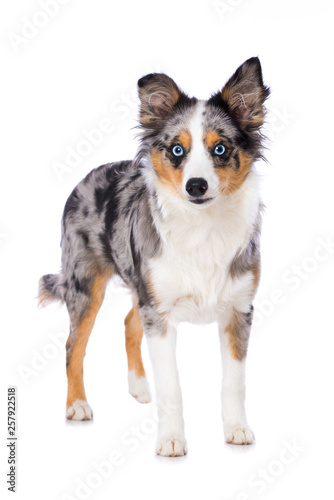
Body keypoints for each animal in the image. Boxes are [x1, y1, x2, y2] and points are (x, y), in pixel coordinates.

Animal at [38, 57, 268, 458]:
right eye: (177, 150)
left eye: (220, 149)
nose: (196, 186)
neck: (202, 227)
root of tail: (86, 178)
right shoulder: (159, 315)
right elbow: (171, 386)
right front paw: (172, 440)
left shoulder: (239, 311)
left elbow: (234, 382)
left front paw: (237, 430)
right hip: (86, 287)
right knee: (72, 346)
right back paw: (77, 405)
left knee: (129, 323)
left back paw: (138, 387)